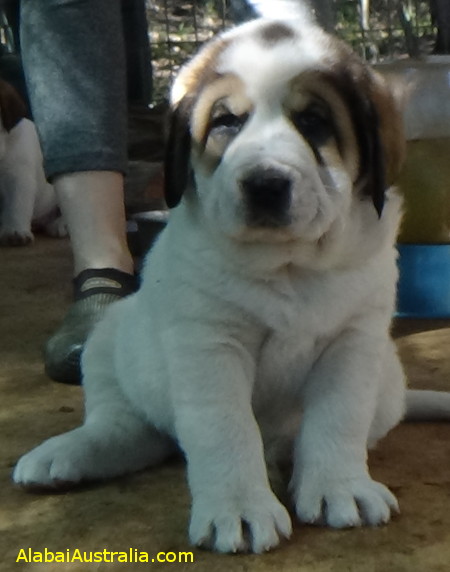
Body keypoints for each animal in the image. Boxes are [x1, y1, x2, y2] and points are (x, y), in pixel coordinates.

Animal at [12, 10, 448, 556]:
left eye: (314, 122)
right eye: (226, 123)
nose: (265, 184)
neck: (289, 267)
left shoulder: (354, 342)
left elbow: (338, 417)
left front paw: (338, 487)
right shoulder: (211, 346)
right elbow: (224, 427)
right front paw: (239, 508)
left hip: (387, 380)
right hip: (111, 336)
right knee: (128, 426)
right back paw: (69, 454)